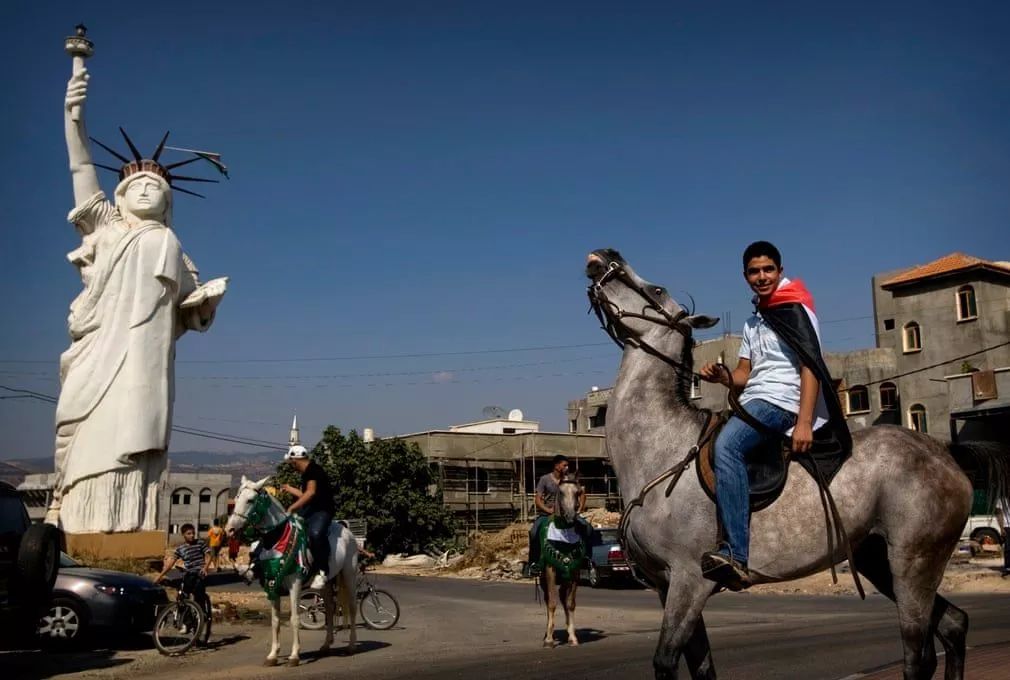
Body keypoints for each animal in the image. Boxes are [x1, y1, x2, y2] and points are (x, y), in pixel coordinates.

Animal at [226, 474, 359, 666]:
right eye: (236, 499)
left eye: (250, 500)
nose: (230, 529)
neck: (276, 539)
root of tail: (347, 531)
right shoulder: (271, 586)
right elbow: (275, 621)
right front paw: (273, 655)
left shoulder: (294, 585)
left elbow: (294, 618)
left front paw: (294, 655)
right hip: (327, 584)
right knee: (329, 608)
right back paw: (326, 645)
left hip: (349, 575)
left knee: (353, 607)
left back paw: (352, 646)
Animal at [581, 250, 1005, 678]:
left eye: (656, 290)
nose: (605, 256)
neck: (661, 452)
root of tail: (944, 452)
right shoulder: (666, 586)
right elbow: (702, 668)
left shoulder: (689, 580)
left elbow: (665, 660)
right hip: (877, 558)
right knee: (953, 624)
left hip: (913, 563)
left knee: (918, 656)